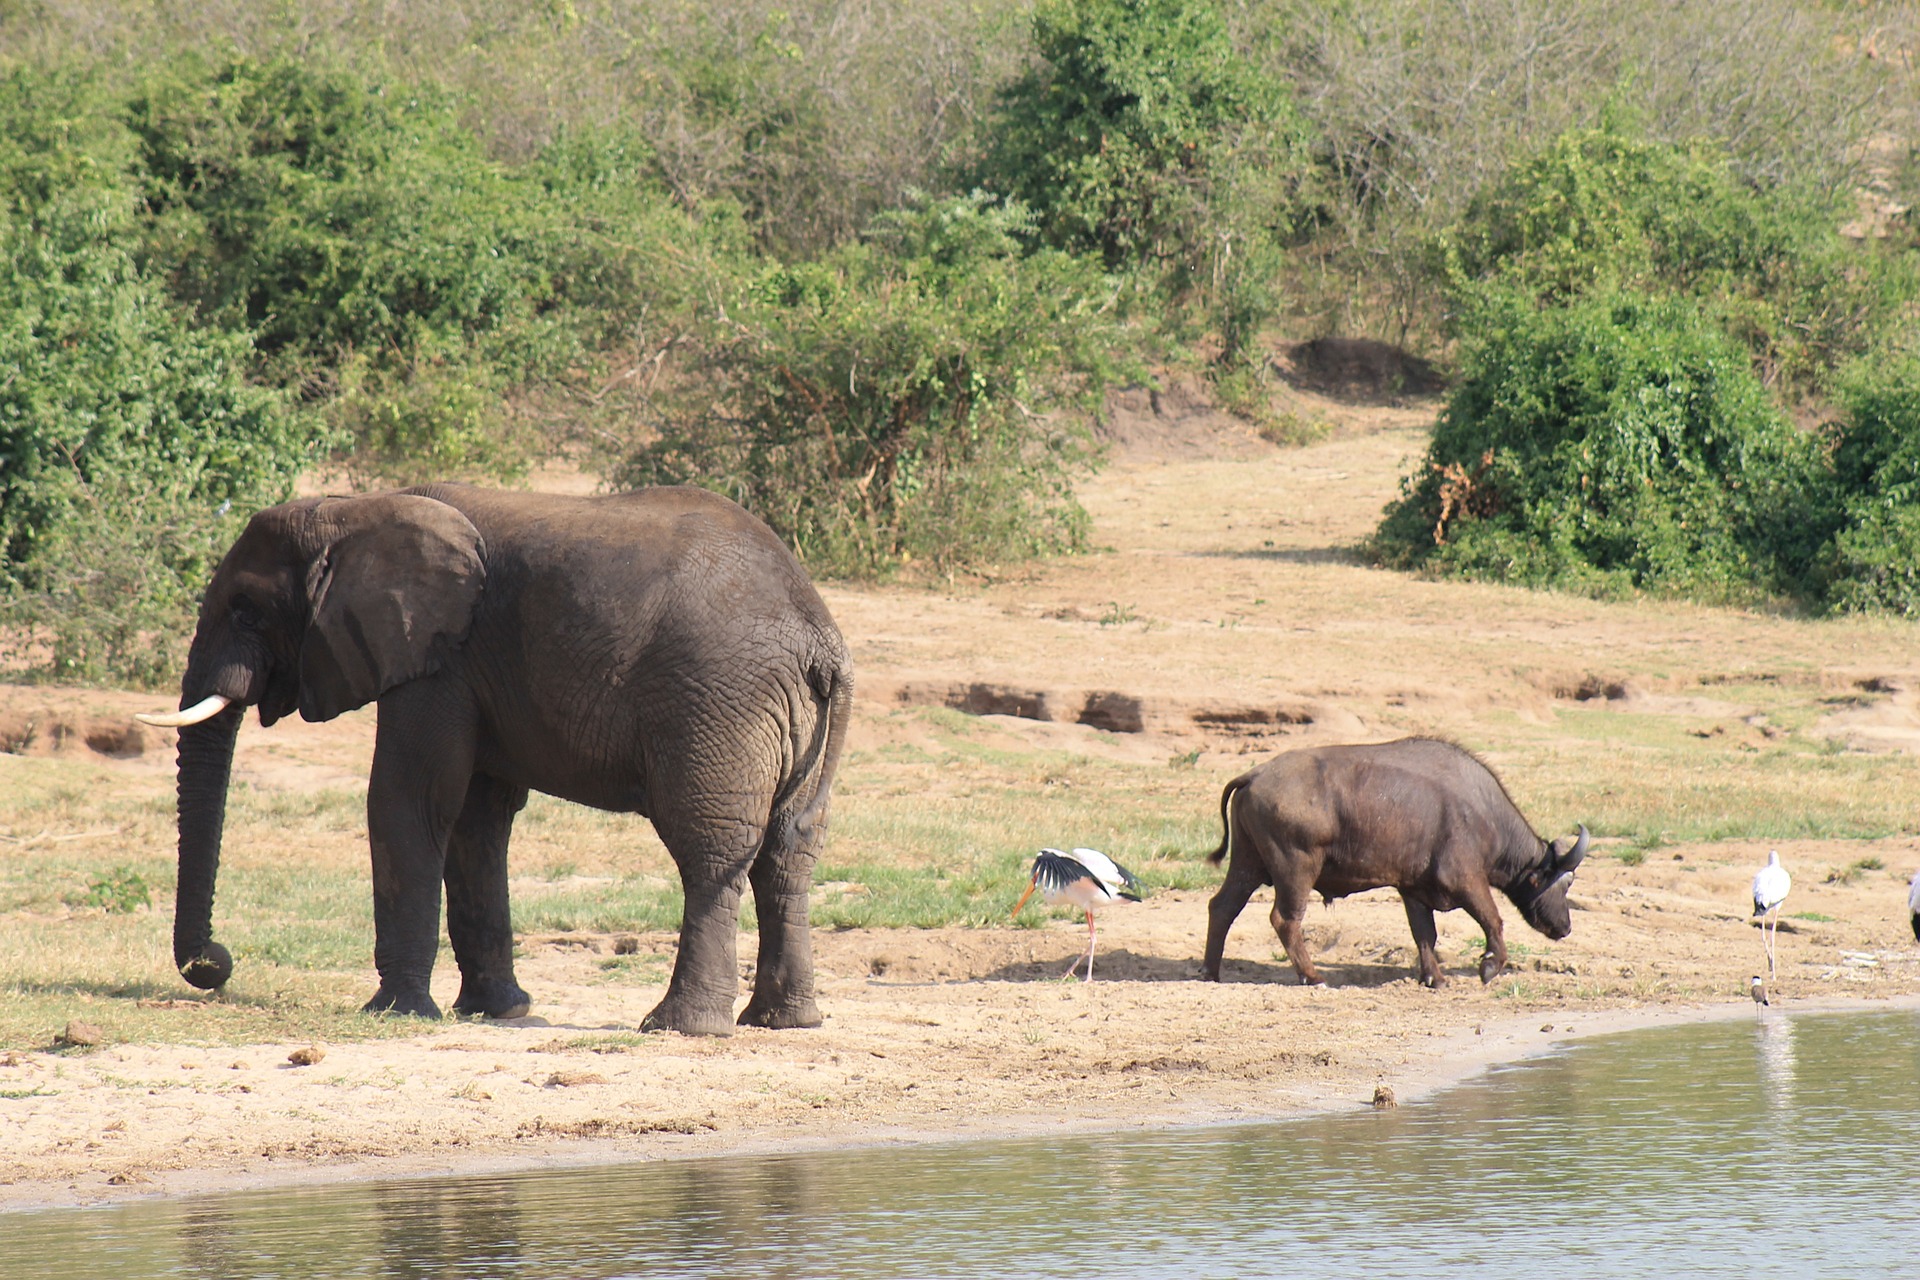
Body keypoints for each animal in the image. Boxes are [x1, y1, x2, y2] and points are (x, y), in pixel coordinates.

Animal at [139, 485, 852, 1036]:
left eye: (245, 612)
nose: (214, 963)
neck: (355, 509)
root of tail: (818, 635)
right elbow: (477, 819)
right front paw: (495, 1012)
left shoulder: (437, 659)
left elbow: (407, 799)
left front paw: (395, 1013)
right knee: (787, 855)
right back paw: (784, 1022)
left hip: (715, 707)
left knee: (708, 852)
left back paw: (676, 1027)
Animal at [1198, 740, 1589, 990]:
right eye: (1566, 882)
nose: (1565, 927)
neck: (1483, 813)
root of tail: (1255, 775)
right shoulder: (1466, 879)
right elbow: (1492, 919)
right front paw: (1490, 966)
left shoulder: (1412, 889)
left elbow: (1425, 934)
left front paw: (1435, 978)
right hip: (1295, 869)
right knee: (1285, 919)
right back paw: (1313, 977)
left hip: (1247, 863)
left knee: (1222, 906)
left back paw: (1210, 972)